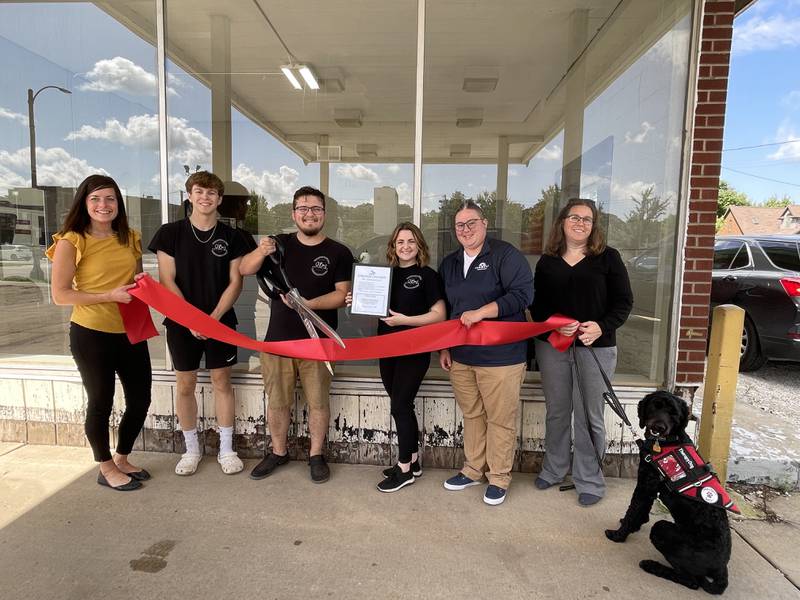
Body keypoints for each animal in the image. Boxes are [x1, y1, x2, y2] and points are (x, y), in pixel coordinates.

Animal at [608, 392, 732, 592]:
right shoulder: (649, 486)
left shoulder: (646, 485)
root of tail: (721, 568)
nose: (659, 427)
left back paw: (652, 566)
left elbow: (633, 510)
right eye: (655, 406)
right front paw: (634, 526)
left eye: (674, 414)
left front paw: (618, 535)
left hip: (664, 530)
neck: (665, 442)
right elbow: (639, 512)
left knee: (691, 581)